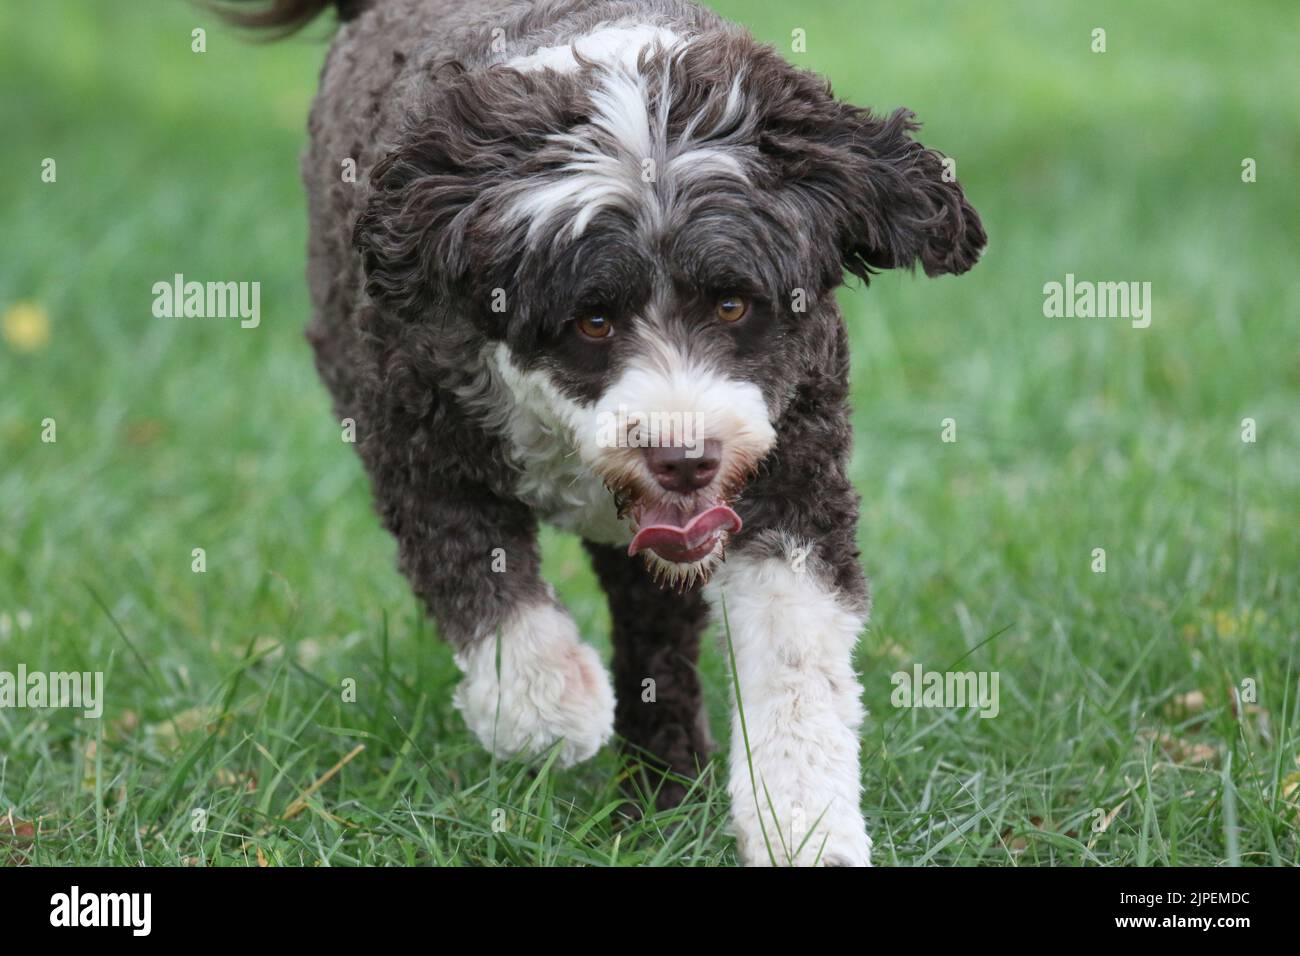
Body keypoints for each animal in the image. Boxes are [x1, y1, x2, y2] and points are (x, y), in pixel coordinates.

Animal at [228, 0, 982, 868]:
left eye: (733, 304)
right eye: (593, 321)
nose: (686, 459)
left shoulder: (792, 477)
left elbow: (796, 657)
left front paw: (805, 825)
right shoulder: (411, 438)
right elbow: (475, 575)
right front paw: (549, 707)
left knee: (657, 636)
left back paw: (661, 790)